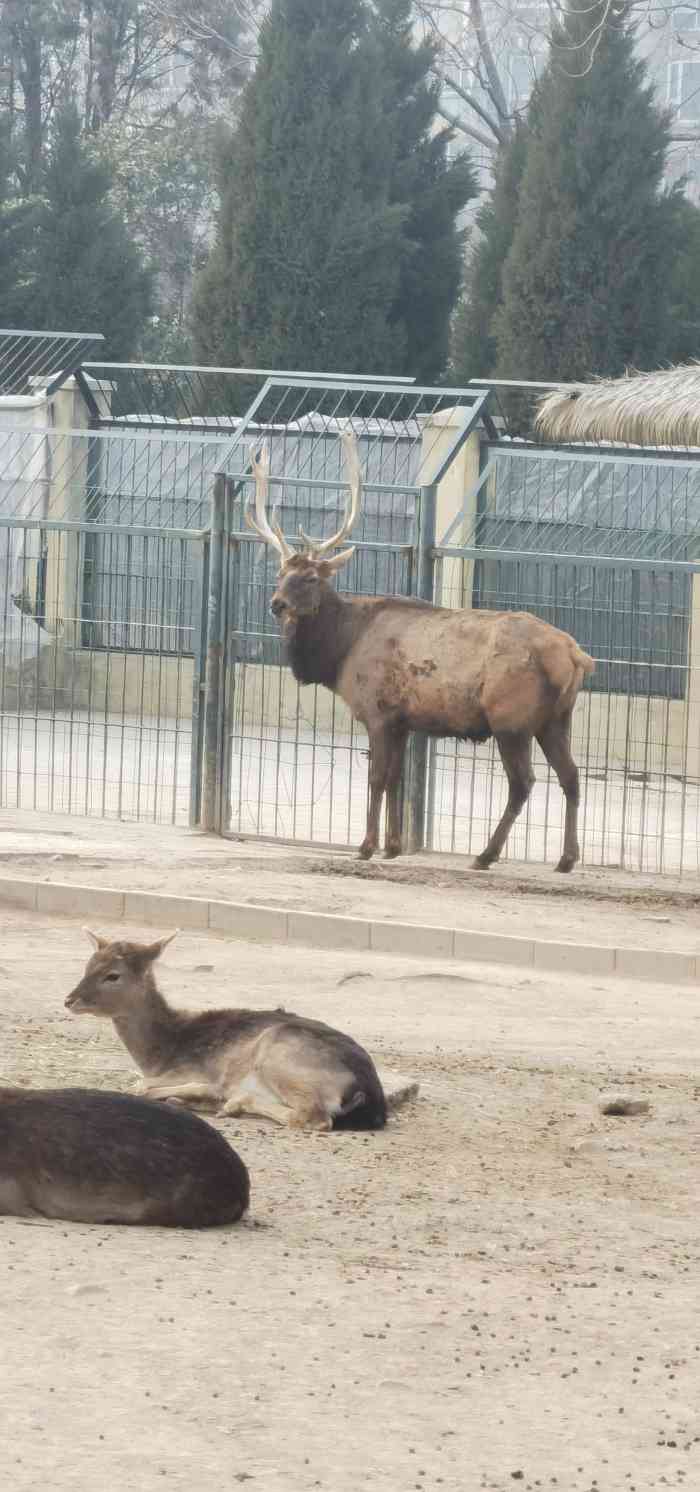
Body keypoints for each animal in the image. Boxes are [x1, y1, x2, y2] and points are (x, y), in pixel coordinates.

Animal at [65, 931, 388, 1127]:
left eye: (112, 975)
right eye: (87, 966)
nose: (69, 1000)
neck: (163, 1051)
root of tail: (369, 1094)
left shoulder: (193, 1068)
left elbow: (139, 1086)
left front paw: (203, 1094)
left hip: (280, 1053)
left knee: (313, 1116)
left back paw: (232, 1101)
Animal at [247, 432, 591, 871]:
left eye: (310, 577)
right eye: (280, 573)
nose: (277, 604)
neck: (341, 650)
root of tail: (576, 656)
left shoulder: (377, 712)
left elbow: (377, 778)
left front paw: (367, 845)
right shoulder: (403, 720)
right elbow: (396, 779)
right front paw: (393, 845)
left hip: (511, 719)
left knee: (523, 783)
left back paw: (486, 854)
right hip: (556, 719)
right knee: (571, 776)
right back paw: (566, 858)